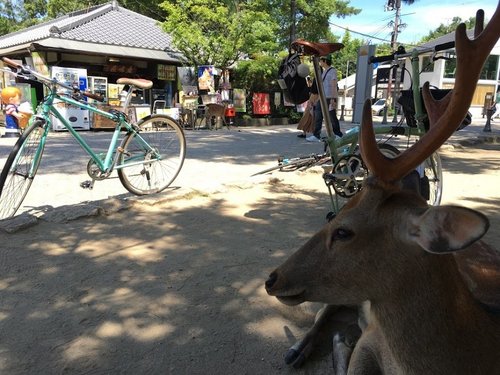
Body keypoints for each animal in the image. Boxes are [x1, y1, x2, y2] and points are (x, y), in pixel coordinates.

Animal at [266, 5, 500, 375]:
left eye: (344, 232)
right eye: (334, 220)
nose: (271, 279)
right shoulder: (372, 339)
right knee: (325, 312)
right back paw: (298, 348)